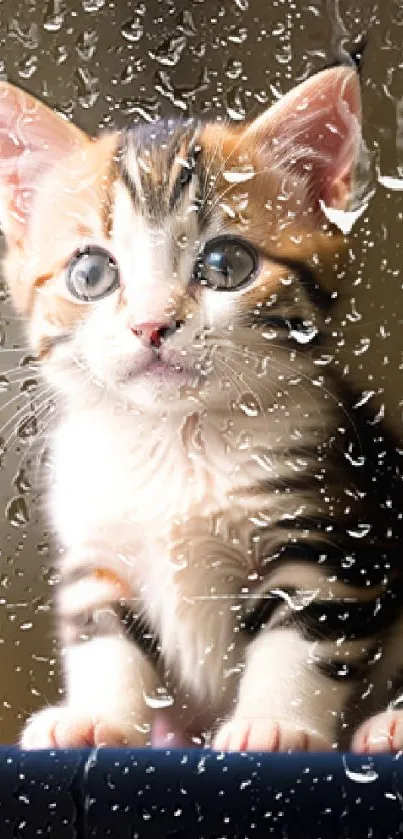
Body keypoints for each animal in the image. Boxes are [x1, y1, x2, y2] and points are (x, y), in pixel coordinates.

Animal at [0, 62, 403, 752]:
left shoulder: (330, 536)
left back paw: (390, 724)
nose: (152, 325)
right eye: (90, 273)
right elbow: (102, 637)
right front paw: (99, 718)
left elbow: (299, 641)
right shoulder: (98, 552)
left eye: (226, 263)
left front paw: (273, 723)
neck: (176, 439)